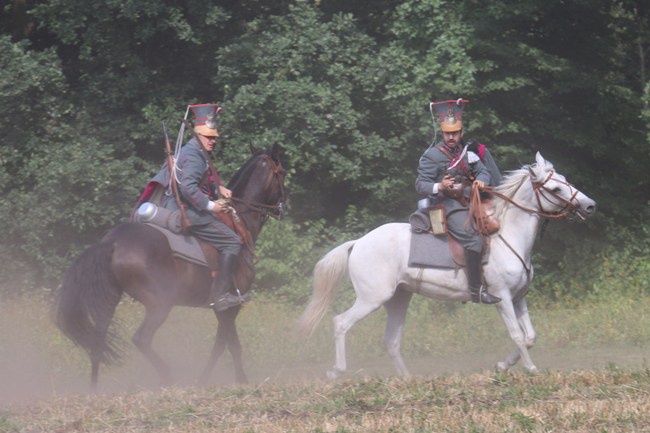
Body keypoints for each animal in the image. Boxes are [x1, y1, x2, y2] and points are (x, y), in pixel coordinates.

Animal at [56, 144, 286, 388]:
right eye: (282, 172)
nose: (285, 206)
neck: (238, 223)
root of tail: (112, 241)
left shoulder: (222, 309)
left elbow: (223, 343)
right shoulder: (229, 305)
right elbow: (228, 344)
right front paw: (235, 380)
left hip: (109, 301)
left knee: (97, 340)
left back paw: (94, 388)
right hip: (160, 304)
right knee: (141, 339)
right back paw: (168, 376)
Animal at [298, 153, 592, 378]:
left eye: (565, 181)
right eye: (555, 189)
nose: (590, 206)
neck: (507, 235)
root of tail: (358, 242)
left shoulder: (518, 298)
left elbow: (530, 336)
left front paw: (502, 365)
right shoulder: (503, 298)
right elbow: (518, 335)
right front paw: (531, 369)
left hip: (398, 299)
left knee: (391, 340)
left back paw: (406, 378)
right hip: (372, 298)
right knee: (341, 323)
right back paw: (337, 370)